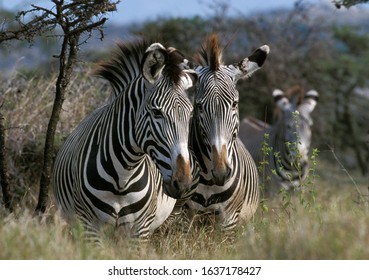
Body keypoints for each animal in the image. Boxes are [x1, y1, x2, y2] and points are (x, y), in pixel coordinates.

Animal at [52, 40, 198, 241]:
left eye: (190, 114)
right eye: (156, 112)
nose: (182, 182)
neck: (122, 177)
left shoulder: (140, 230)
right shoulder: (90, 226)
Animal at [183, 34, 268, 231]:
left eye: (235, 104)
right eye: (198, 106)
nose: (221, 172)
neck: (209, 182)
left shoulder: (228, 221)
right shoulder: (183, 217)